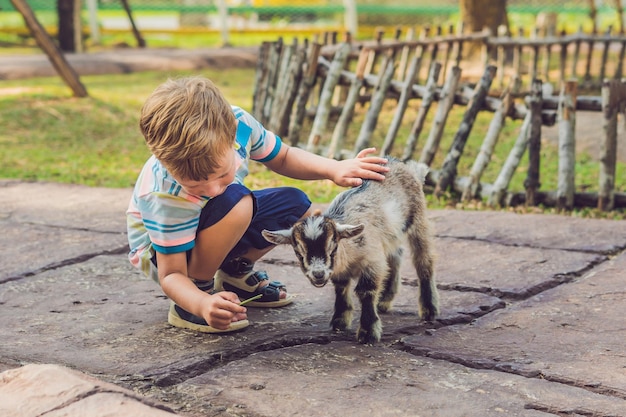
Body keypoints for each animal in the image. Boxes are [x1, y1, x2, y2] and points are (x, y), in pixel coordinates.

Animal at [260, 158, 436, 342]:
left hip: (418, 219)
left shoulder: (372, 260)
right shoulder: (342, 270)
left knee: (423, 260)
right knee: (396, 256)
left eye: (333, 246)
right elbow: (341, 287)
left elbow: (365, 290)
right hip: (391, 234)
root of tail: (406, 167)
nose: (318, 274)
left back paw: (429, 310)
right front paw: (340, 321)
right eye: (299, 252)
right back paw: (385, 300)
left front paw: (368, 332)